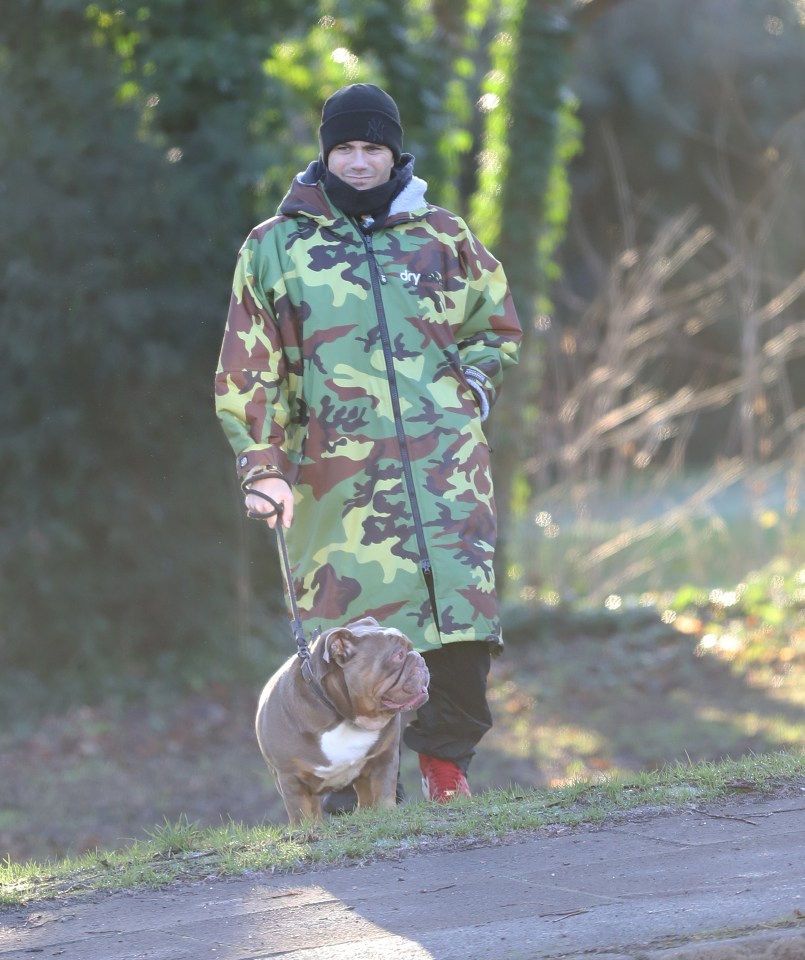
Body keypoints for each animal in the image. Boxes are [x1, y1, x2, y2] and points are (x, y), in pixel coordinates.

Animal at [256, 620, 434, 820]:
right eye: (399, 655)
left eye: (411, 647)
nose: (419, 657)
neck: (342, 714)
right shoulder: (292, 779)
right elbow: (301, 813)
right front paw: (307, 826)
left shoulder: (385, 756)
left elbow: (384, 788)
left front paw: (387, 811)